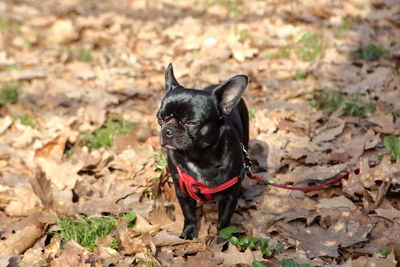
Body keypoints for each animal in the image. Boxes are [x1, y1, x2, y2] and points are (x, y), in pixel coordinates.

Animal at [157, 64, 248, 241]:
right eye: (160, 119)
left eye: (192, 123)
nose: (167, 131)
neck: (197, 155)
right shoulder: (182, 191)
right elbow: (189, 215)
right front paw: (188, 233)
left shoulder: (229, 197)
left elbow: (223, 222)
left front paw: (222, 242)